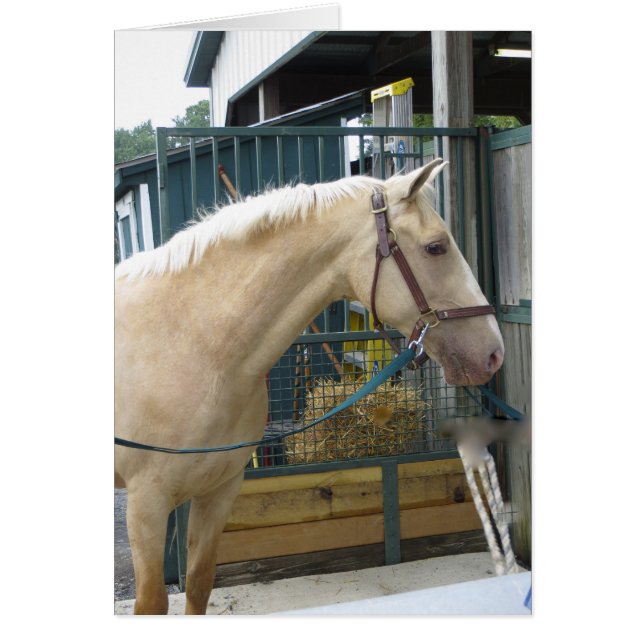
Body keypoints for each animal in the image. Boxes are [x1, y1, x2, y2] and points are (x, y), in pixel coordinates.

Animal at [114, 159, 504, 614]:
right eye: (436, 247)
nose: (493, 352)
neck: (191, 342)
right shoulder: (146, 504)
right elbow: (152, 603)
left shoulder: (219, 490)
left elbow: (198, 585)